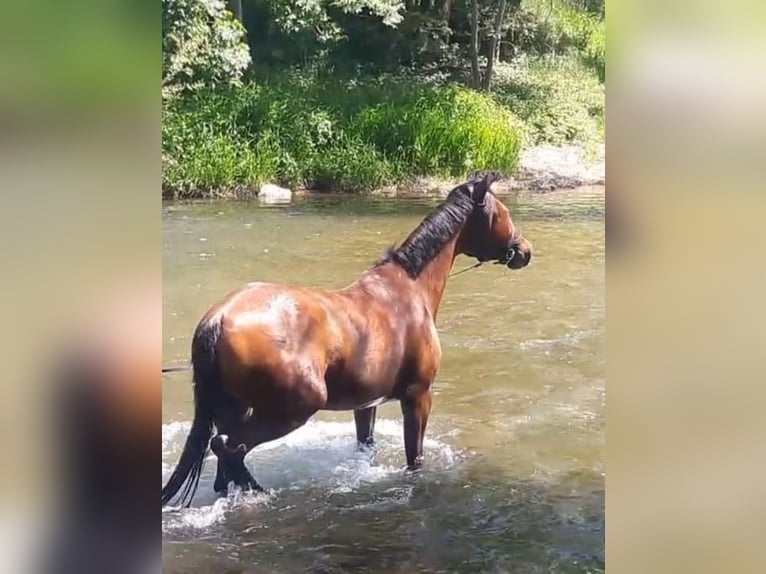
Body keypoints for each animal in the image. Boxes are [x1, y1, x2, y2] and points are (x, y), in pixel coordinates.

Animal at [162, 170, 536, 508]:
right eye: (502, 214)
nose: (524, 250)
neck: (410, 289)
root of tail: (220, 316)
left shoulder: (365, 404)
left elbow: (365, 445)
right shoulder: (418, 397)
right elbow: (414, 458)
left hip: (236, 408)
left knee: (223, 453)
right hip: (292, 409)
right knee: (229, 447)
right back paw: (257, 490)